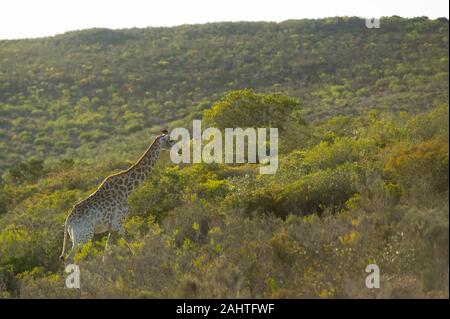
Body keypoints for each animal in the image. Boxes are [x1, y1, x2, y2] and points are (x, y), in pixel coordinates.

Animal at [60, 130, 177, 262]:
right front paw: (139, 258)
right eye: (170, 140)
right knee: (69, 258)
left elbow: (107, 250)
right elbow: (130, 242)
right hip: (84, 236)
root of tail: (68, 222)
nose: (179, 150)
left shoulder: (112, 226)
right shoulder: (118, 223)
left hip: (77, 238)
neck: (126, 190)